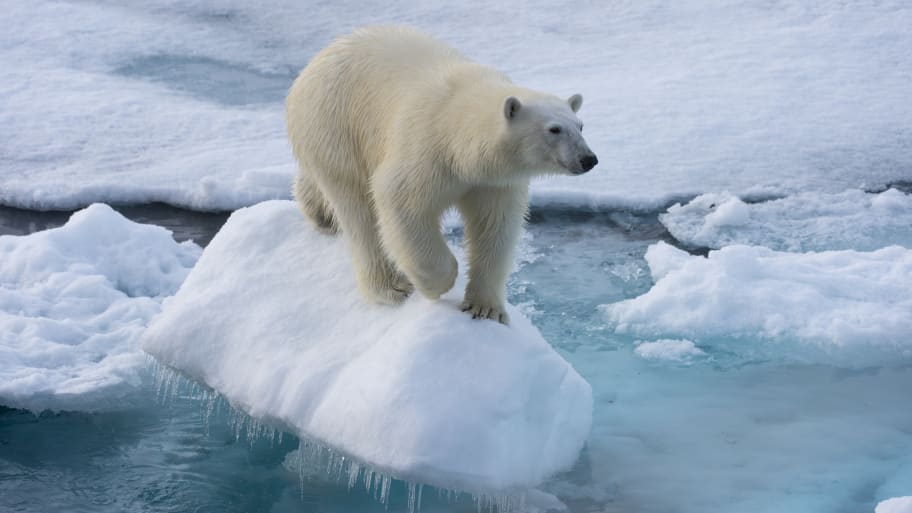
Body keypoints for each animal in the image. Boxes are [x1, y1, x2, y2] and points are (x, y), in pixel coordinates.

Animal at [286, 26, 600, 322]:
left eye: (580, 125)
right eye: (554, 129)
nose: (589, 159)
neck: (458, 131)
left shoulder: (493, 182)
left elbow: (495, 227)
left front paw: (486, 307)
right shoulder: (426, 148)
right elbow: (401, 202)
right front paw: (438, 283)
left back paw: (319, 213)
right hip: (335, 126)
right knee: (358, 211)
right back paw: (392, 287)